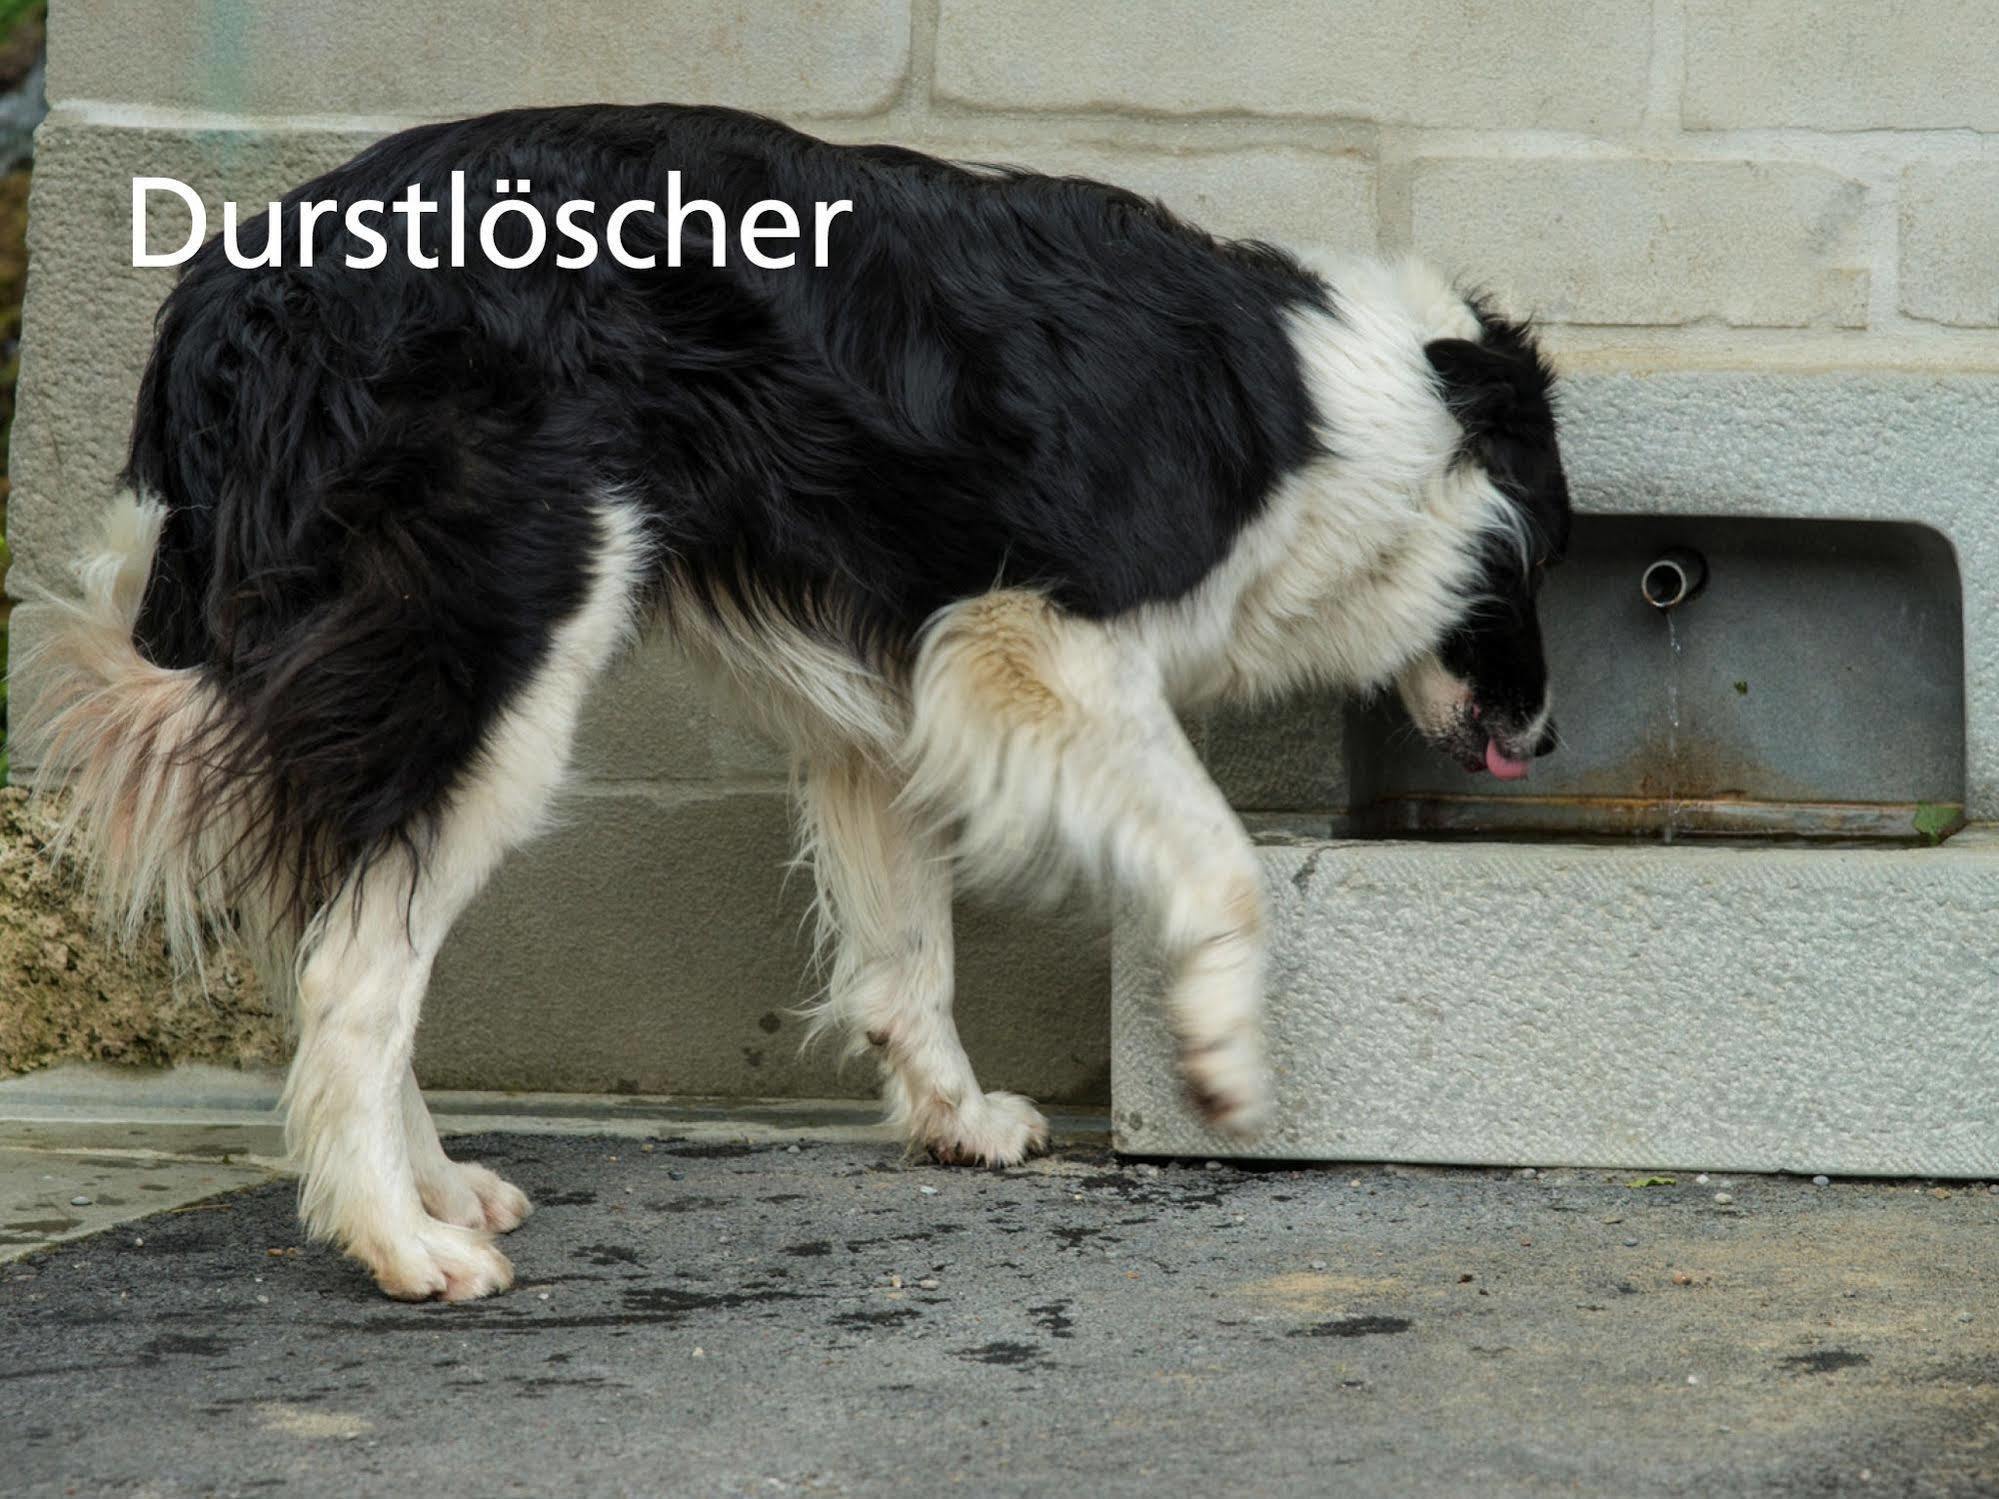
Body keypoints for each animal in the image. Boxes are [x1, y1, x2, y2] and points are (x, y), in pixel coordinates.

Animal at [23, 102, 1567, 1303]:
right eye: (1548, 555)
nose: (1543, 733)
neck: (1358, 413)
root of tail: (223, 305)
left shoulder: (889, 689)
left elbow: (903, 949)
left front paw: (954, 1117)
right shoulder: (1031, 640)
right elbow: (1222, 862)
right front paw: (1223, 1060)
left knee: (335, 925)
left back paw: (437, 1183)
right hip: (505, 632)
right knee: (352, 966)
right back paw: (399, 1241)